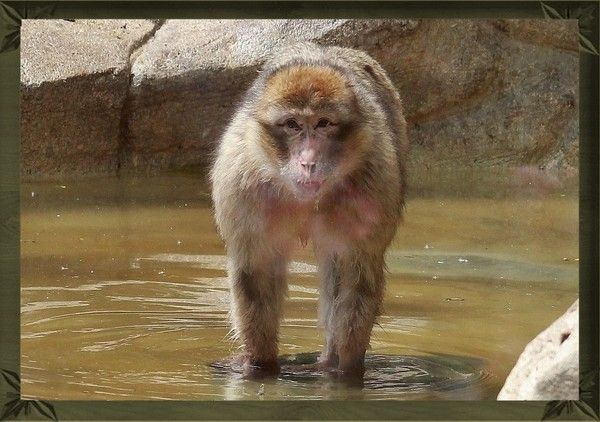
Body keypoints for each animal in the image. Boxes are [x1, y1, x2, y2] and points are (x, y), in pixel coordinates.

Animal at [210, 42, 408, 380]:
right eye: (292, 125)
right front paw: (259, 366)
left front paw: (345, 374)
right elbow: (256, 272)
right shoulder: (242, 186)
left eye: (323, 123)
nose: (308, 161)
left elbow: (356, 277)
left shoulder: (374, 183)